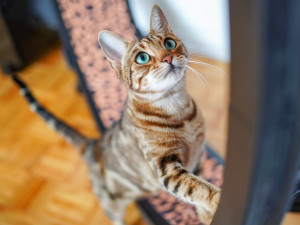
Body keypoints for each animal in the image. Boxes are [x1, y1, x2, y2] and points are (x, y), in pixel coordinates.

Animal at [12, 4, 220, 225]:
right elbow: (197, 188)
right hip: (112, 204)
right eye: (142, 58)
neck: (177, 110)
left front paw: (206, 216)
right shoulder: (166, 168)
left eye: (169, 43)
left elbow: (199, 187)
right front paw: (216, 199)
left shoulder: (198, 157)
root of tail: (92, 144)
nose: (168, 57)